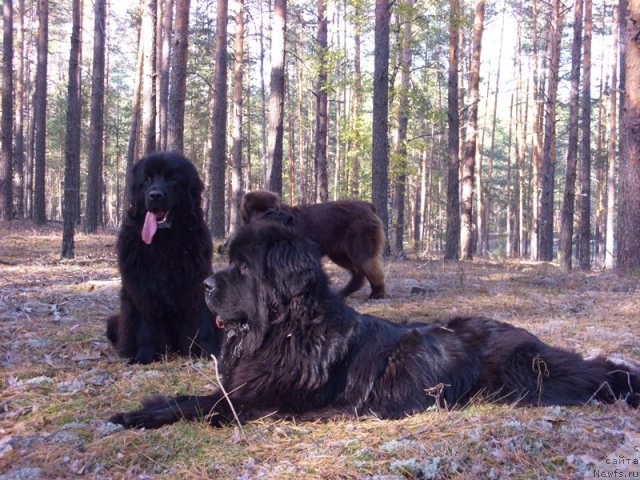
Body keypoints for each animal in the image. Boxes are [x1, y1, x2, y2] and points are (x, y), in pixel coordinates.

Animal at [106, 154, 221, 364]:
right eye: (147, 179)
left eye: (173, 179)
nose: (155, 195)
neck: (164, 241)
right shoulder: (143, 287)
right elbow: (147, 326)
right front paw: (145, 356)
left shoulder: (195, 283)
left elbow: (201, 321)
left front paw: (207, 352)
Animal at [107, 223, 636, 430]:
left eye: (242, 267)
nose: (205, 284)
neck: (286, 332)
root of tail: (529, 336)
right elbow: (190, 397)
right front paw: (146, 405)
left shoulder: (260, 401)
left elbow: (200, 406)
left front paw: (134, 416)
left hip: (521, 375)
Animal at [240, 190, 384, 296]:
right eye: (254, 210)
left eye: (268, 209)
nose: (262, 218)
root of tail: (368, 206)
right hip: (339, 254)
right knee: (358, 272)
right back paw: (344, 292)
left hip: (360, 244)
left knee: (369, 266)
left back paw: (377, 293)